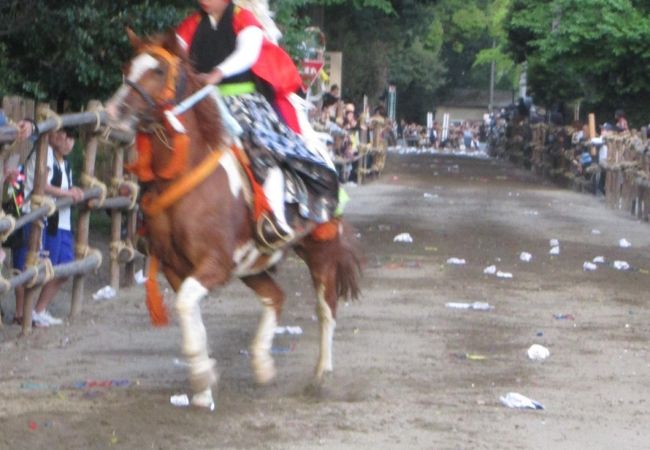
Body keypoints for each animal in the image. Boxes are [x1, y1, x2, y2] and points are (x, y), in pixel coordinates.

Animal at [104, 27, 362, 408]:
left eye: (158, 71)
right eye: (127, 68)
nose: (112, 113)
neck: (185, 174)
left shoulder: (215, 264)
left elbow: (187, 308)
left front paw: (201, 377)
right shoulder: (177, 269)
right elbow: (190, 316)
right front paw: (202, 386)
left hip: (320, 251)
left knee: (326, 309)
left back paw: (322, 375)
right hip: (252, 265)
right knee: (275, 296)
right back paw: (262, 364)